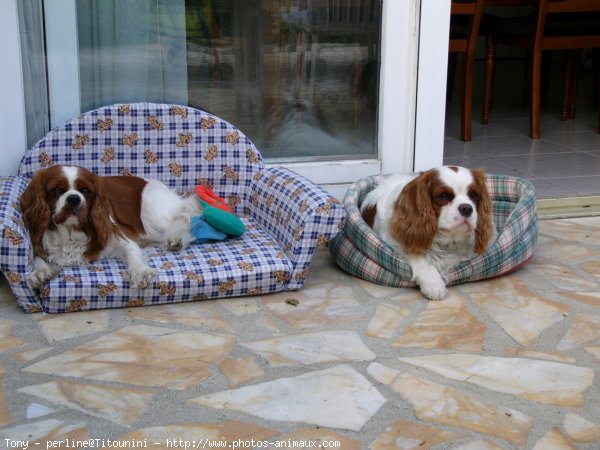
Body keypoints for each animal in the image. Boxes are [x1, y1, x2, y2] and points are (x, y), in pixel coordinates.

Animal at [19, 165, 203, 288]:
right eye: (57, 189)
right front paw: (40, 272)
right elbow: (36, 256)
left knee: (187, 216)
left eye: (85, 191)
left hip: (151, 213)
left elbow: (132, 252)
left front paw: (140, 272)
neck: (71, 233)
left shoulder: (119, 238)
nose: (74, 198)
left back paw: (175, 239)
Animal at [360, 164, 496, 298]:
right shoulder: (395, 241)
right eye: (443, 195)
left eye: (474, 194)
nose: (467, 208)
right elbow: (420, 259)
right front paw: (434, 284)